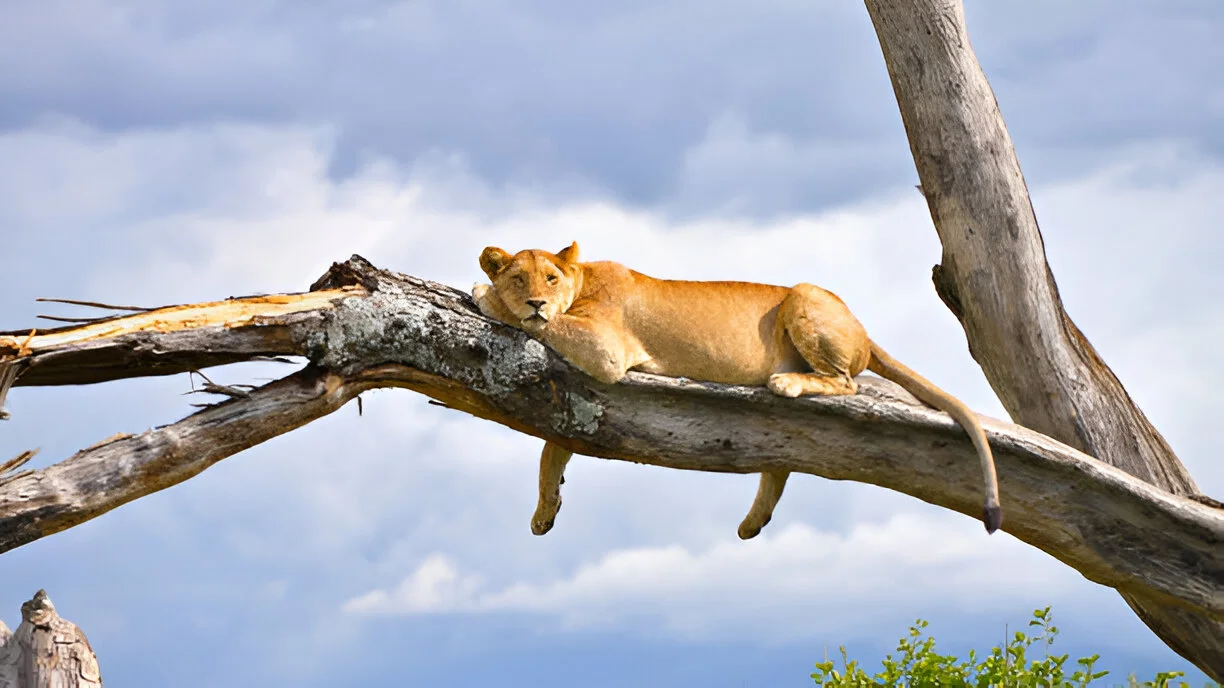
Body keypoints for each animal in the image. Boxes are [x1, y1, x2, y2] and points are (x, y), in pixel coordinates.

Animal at [472, 242, 1001, 539]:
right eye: (519, 277)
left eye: (550, 278)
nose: (536, 300)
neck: (581, 283)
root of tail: (865, 333)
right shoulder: (574, 400)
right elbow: (552, 451)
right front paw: (544, 514)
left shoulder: (606, 351)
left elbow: (547, 326)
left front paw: (486, 296)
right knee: (782, 461)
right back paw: (752, 525)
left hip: (804, 294)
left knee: (847, 384)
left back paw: (786, 381)